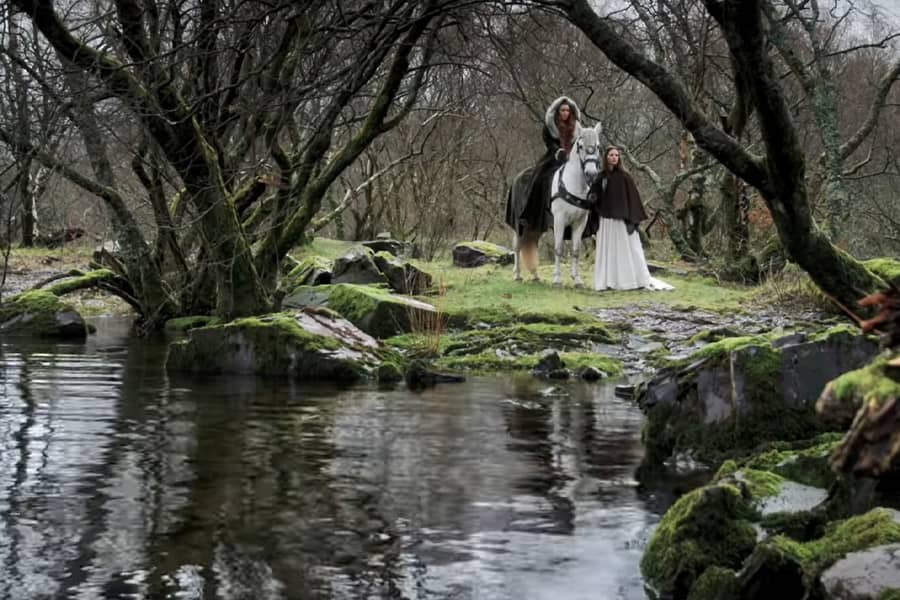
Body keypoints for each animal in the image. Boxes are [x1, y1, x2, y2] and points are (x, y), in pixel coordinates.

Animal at [544, 123, 600, 288]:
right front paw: (557, 279)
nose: (591, 173)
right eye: (580, 146)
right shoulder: (559, 220)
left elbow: (576, 250)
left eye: (598, 146)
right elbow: (558, 248)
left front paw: (577, 279)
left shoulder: (580, 223)